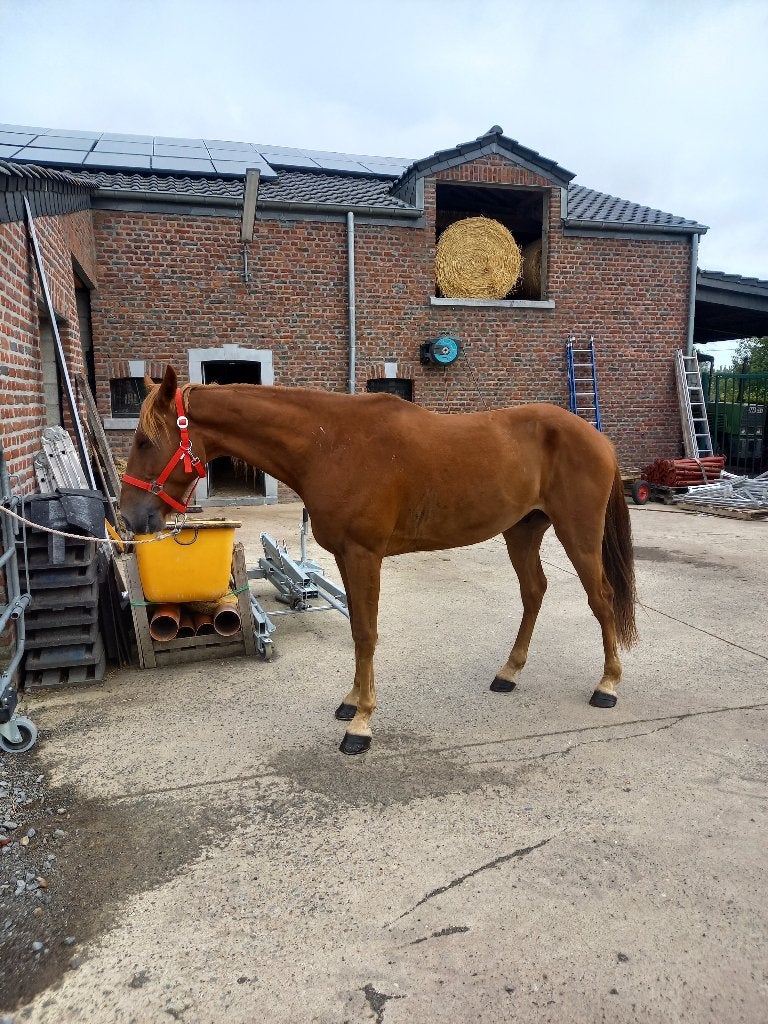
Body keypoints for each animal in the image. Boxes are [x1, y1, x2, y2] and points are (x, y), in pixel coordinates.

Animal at [119, 365, 637, 756]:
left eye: (145, 441)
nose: (130, 516)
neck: (328, 444)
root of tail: (598, 438)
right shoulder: (348, 557)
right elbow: (356, 631)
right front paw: (351, 703)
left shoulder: (364, 555)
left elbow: (366, 634)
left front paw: (361, 725)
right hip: (522, 531)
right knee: (534, 593)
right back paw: (508, 674)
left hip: (578, 534)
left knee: (601, 597)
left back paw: (608, 686)